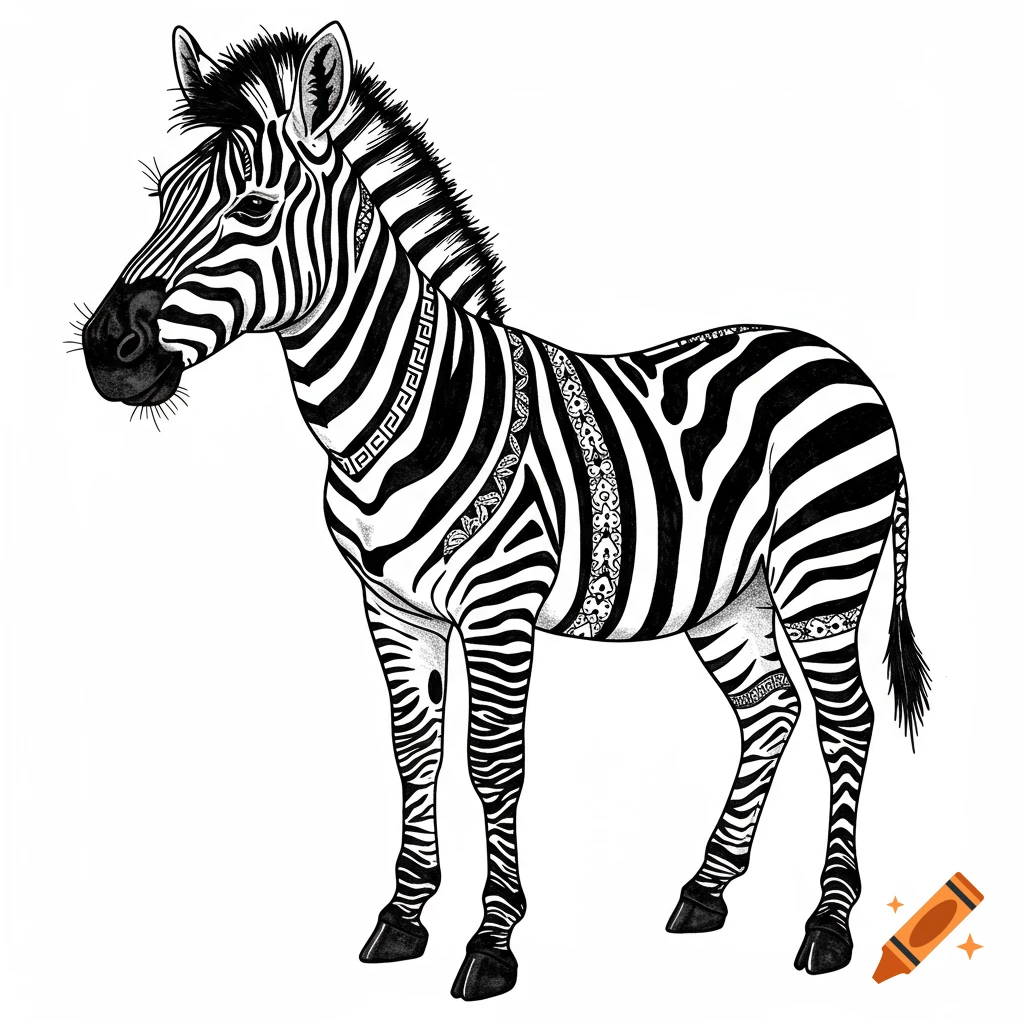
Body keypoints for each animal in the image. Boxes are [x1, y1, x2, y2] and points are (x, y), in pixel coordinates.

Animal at [79, 23, 931, 1001]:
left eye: (254, 209)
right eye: (159, 201)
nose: (107, 352)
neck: (402, 407)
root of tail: (839, 360)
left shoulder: (500, 604)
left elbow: (493, 762)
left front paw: (492, 941)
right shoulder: (392, 606)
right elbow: (416, 748)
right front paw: (403, 917)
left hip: (823, 573)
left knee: (847, 723)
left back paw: (828, 926)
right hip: (732, 595)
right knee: (771, 711)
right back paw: (706, 891)